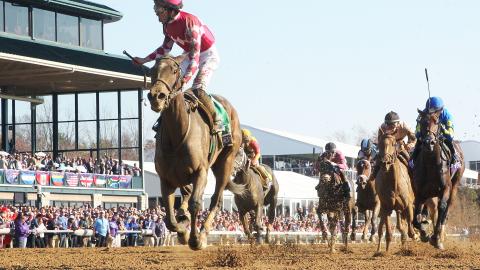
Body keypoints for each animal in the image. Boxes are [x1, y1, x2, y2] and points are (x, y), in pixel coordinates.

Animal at [149, 54, 248, 251]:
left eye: (174, 70)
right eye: (152, 70)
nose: (156, 96)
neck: (177, 134)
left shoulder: (200, 171)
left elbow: (196, 204)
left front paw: (195, 239)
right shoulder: (165, 178)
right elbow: (169, 218)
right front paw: (183, 230)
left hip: (225, 162)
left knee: (216, 199)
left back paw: (203, 233)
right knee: (188, 196)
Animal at [412, 108, 464, 250]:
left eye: (437, 121)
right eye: (421, 122)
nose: (429, 142)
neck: (431, 164)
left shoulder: (445, 188)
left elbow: (442, 208)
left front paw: (436, 238)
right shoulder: (419, 192)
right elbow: (416, 218)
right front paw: (424, 233)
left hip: (454, 185)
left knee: (446, 209)